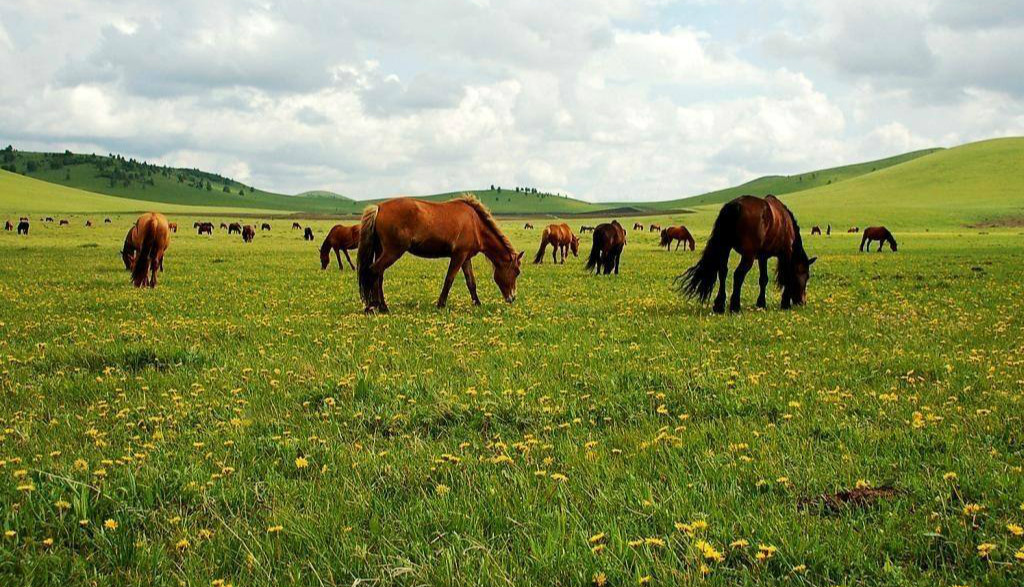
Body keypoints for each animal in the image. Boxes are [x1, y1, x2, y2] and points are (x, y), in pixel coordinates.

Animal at [358, 194, 520, 311]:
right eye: (517, 272)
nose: (512, 298)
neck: (475, 224)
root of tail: (379, 207)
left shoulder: (466, 258)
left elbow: (471, 282)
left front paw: (477, 303)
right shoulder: (458, 256)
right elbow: (449, 279)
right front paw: (441, 304)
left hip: (382, 251)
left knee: (379, 276)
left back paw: (381, 306)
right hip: (392, 252)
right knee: (374, 271)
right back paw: (374, 306)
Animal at [671, 194, 815, 313]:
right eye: (807, 276)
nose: (802, 302)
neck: (786, 222)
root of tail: (736, 206)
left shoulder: (763, 257)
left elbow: (763, 279)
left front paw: (761, 304)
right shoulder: (785, 253)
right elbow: (787, 276)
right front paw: (785, 303)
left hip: (726, 248)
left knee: (723, 272)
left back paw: (719, 305)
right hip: (748, 255)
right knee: (738, 274)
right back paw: (735, 306)